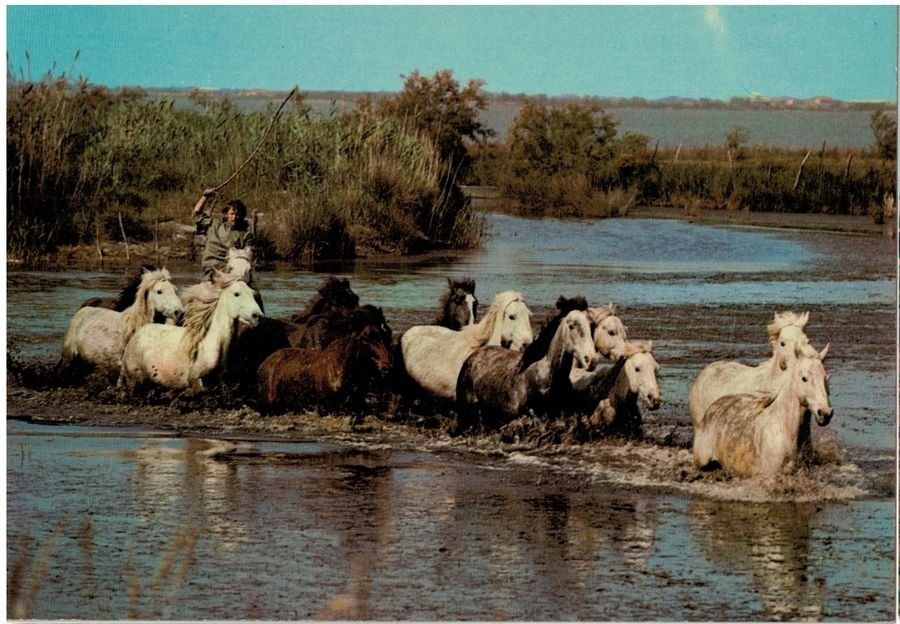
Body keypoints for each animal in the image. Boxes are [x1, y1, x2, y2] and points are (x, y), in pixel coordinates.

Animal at [119, 271, 262, 391]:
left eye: (252, 294)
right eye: (236, 294)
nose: (257, 316)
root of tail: (139, 332)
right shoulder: (196, 382)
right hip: (134, 380)